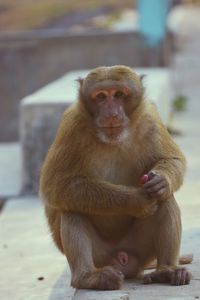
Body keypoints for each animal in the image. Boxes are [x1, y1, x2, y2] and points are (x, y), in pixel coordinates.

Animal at [39, 63, 192, 290]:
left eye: (119, 95)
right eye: (101, 97)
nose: (111, 114)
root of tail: (123, 259)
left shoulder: (150, 118)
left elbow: (172, 160)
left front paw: (162, 180)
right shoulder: (71, 124)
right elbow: (56, 185)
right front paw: (137, 200)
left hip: (140, 251)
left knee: (165, 199)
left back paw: (166, 270)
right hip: (101, 256)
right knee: (72, 206)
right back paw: (88, 277)